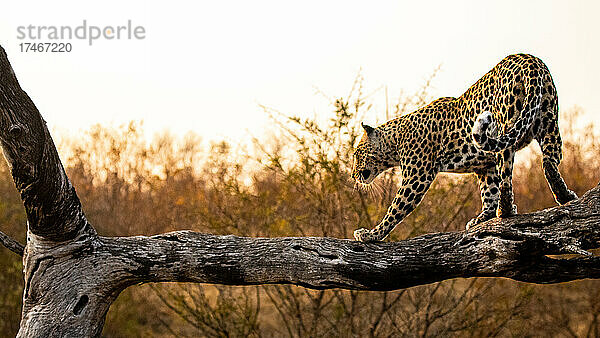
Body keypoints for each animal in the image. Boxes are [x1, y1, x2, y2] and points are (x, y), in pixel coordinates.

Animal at [352, 52, 576, 242]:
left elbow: (395, 209)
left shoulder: (417, 177)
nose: (353, 175)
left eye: (357, 154)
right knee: (549, 161)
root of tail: (530, 60)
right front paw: (482, 218)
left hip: (506, 123)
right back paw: (564, 195)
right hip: (548, 120)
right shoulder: (485, 167)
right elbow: (489, 192)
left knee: (507, 176)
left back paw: (505, 211)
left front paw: (371, 235)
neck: (396, 141)